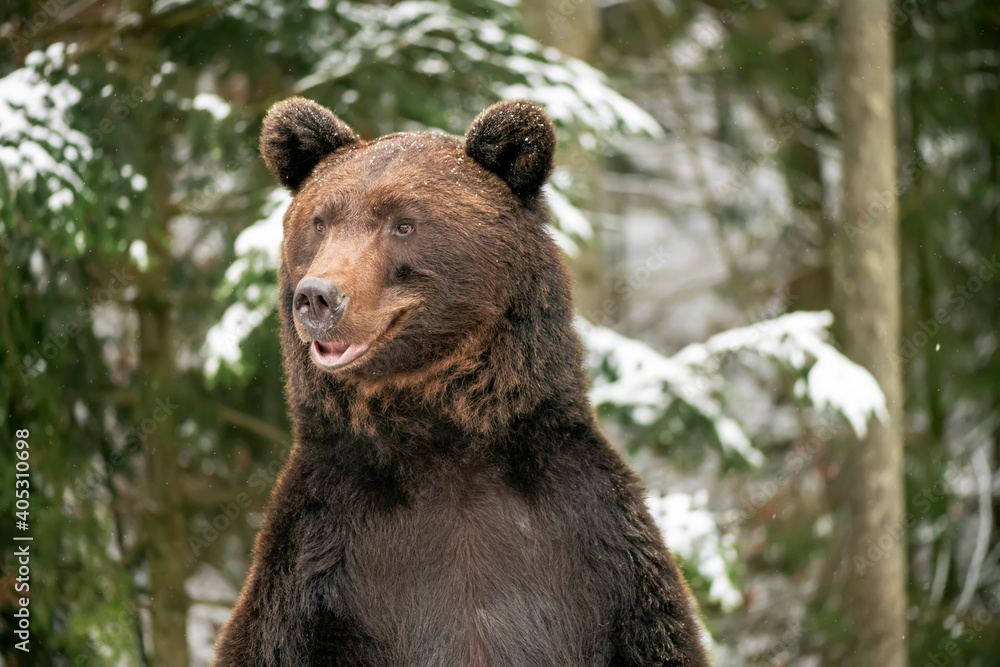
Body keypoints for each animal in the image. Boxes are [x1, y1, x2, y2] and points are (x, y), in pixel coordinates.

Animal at [212, 96, 711, 667]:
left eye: (403, 224)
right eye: (320, 222)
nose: (318, 297)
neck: (446, 443)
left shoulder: (601, 555)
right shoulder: (315, 568)